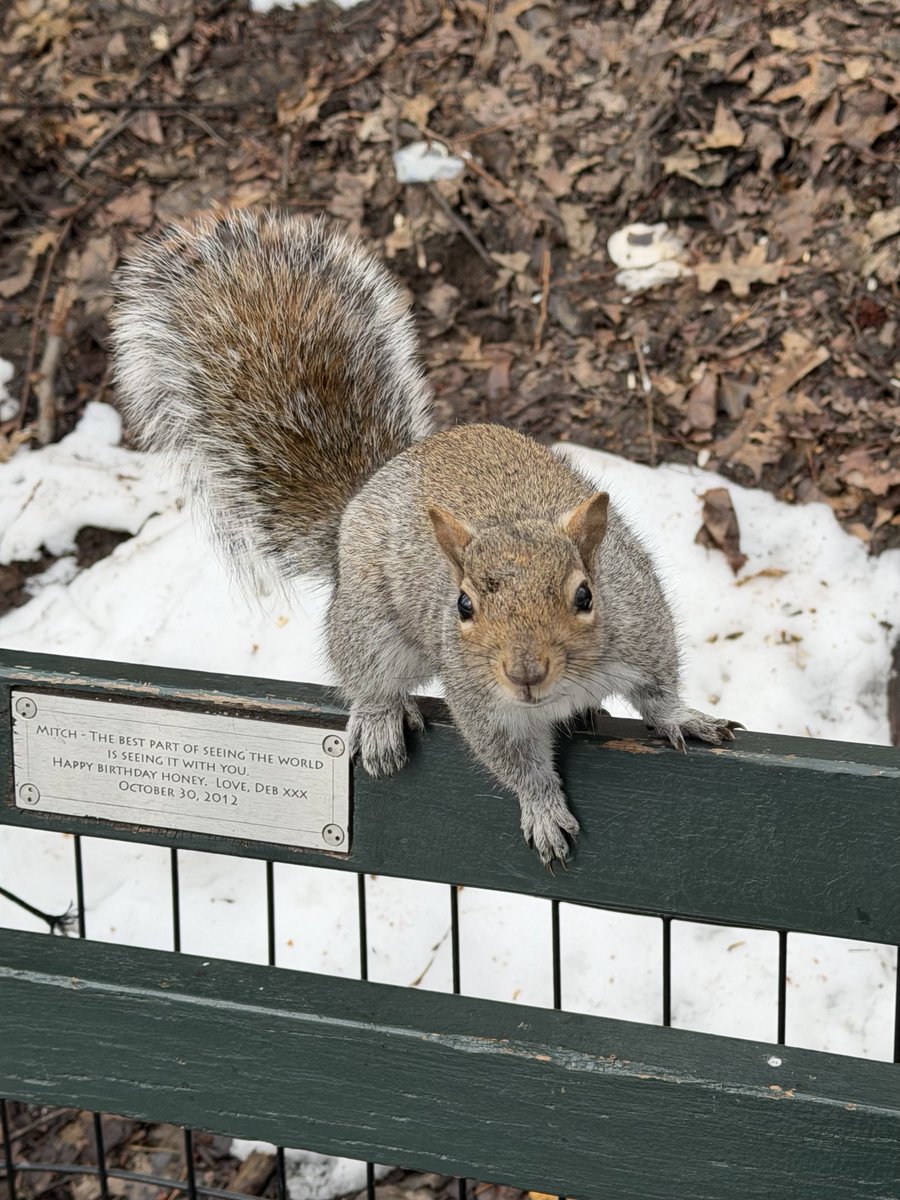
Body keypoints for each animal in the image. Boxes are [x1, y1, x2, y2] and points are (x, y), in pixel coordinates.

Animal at [111, 209, 740, 866]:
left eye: (585, 595)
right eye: (463, 606)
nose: (525, 673)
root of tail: (358, 504)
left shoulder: (641, 630)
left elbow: (658, 691)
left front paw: (686, 719)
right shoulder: (481, 704)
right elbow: (515, 764)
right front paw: (543, 808)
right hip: (369, 624)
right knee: (361, 672)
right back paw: (380, 719)